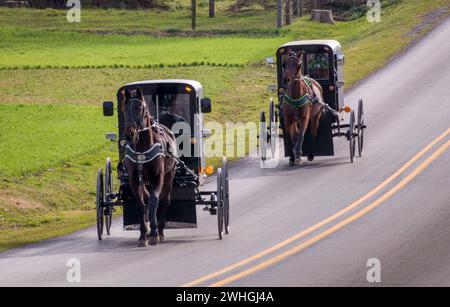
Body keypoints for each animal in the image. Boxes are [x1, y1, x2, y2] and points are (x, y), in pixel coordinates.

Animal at [121, 86, 178, 248]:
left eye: (139, 108)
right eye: (124, 108)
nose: (129, 134)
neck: (142, 148)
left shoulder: (157, 178)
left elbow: (154, 201)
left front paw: (153, 234)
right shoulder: (134, 180)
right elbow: (141, 204)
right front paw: (143, 235)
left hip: (169, 175)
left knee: (164, 200)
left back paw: (160, 231)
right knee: (146, 198)